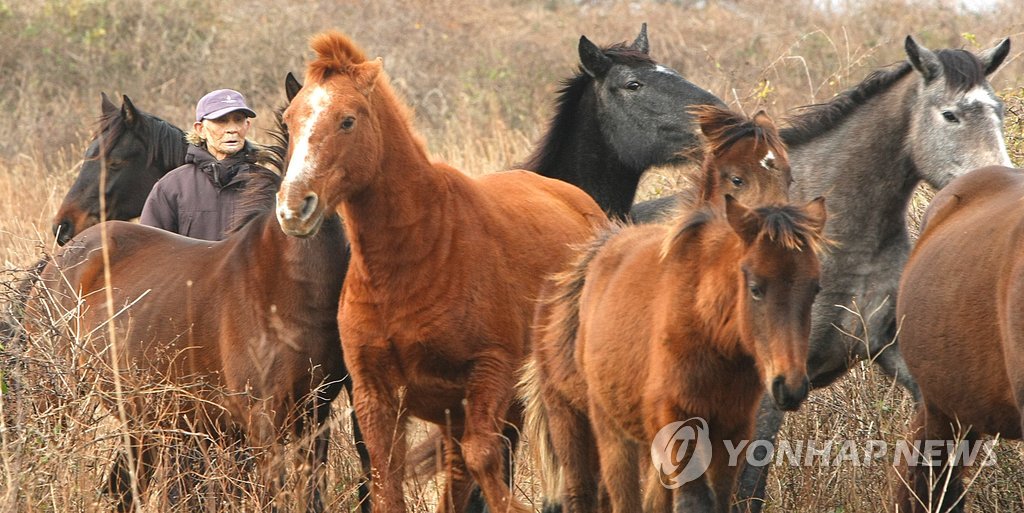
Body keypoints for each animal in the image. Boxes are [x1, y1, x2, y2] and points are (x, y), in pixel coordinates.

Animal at [272, 31, 606, 511]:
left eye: (347, 121)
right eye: (290, 120)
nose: (293, 208)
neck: (414, 259)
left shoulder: (489, 373)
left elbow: (482, 457)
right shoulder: (377, 396)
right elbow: (389, 479)